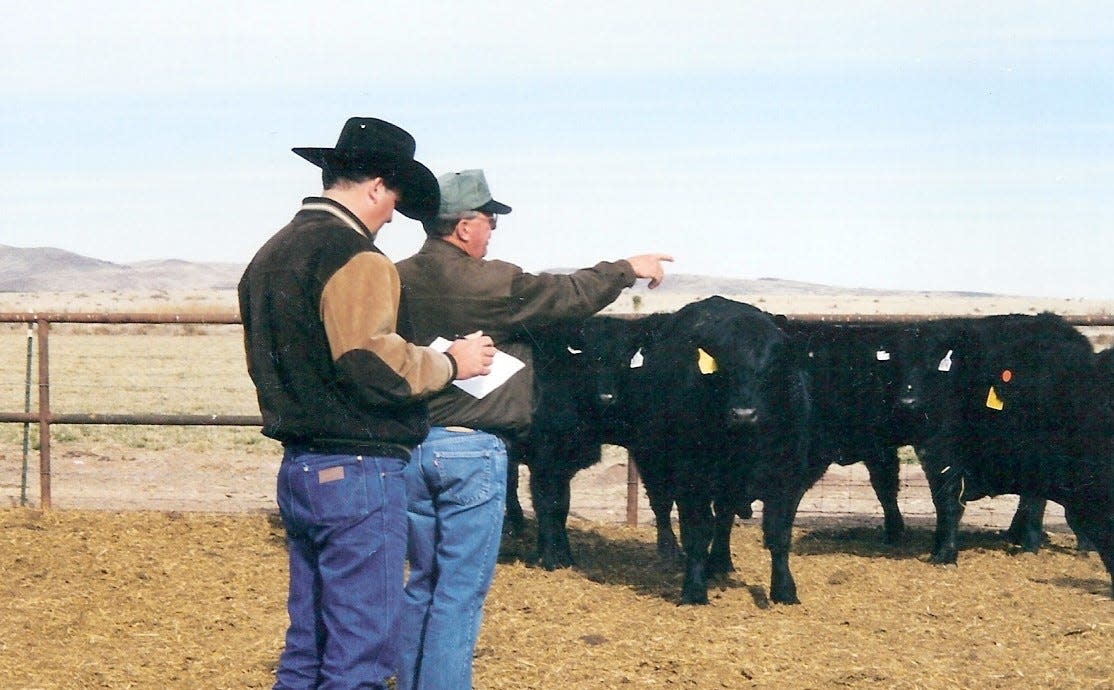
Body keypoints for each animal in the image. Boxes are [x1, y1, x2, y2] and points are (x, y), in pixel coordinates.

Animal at [895, 312, 1114, 593]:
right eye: (901, 365)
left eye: (937, 364)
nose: (907, 402)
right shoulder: (938, 456)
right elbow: (947, 503)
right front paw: (942, 552)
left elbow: (1033, 503)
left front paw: (1029, 546)